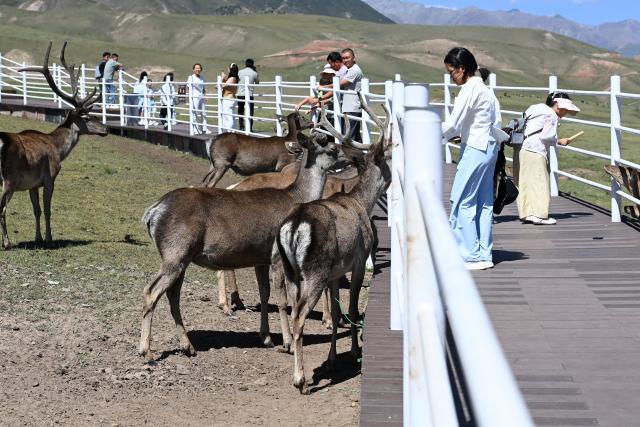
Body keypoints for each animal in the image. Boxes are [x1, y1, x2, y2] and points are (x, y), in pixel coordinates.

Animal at [0, 42, 107, 249]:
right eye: (87, 117)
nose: (106, 128)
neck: (58, 149)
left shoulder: (32, 184)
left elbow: (37, 210)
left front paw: (38, 238)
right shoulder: (50, 177)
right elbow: (48, 210)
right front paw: (49, 239)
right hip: (8, 179)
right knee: (1, 209)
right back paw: (7, 243)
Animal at [139, 128, 363, 362]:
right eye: (333, 147)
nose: (357, 157)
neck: (296, 196)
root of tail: (152, 212)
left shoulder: (260, 258)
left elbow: (264, 293)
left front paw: (266, 337)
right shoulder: (277, 255)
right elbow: (283, 300)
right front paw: (287, 342)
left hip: (181, 257)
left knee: (172, 295)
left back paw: (187, 346)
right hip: (175, 251)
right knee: (151, 291)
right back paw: (147, 351)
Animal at [276, 94, 392, 393]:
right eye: (389, 155)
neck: (361, 201)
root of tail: (294, 227)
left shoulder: (334, 273)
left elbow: (338, 314)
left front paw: (331, 359)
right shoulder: (358, 261)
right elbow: (351, 309)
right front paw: (353, 351)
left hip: (293, 271)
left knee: (293, 309)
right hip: (314, 271)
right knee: (300, 316)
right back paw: (301, 380)